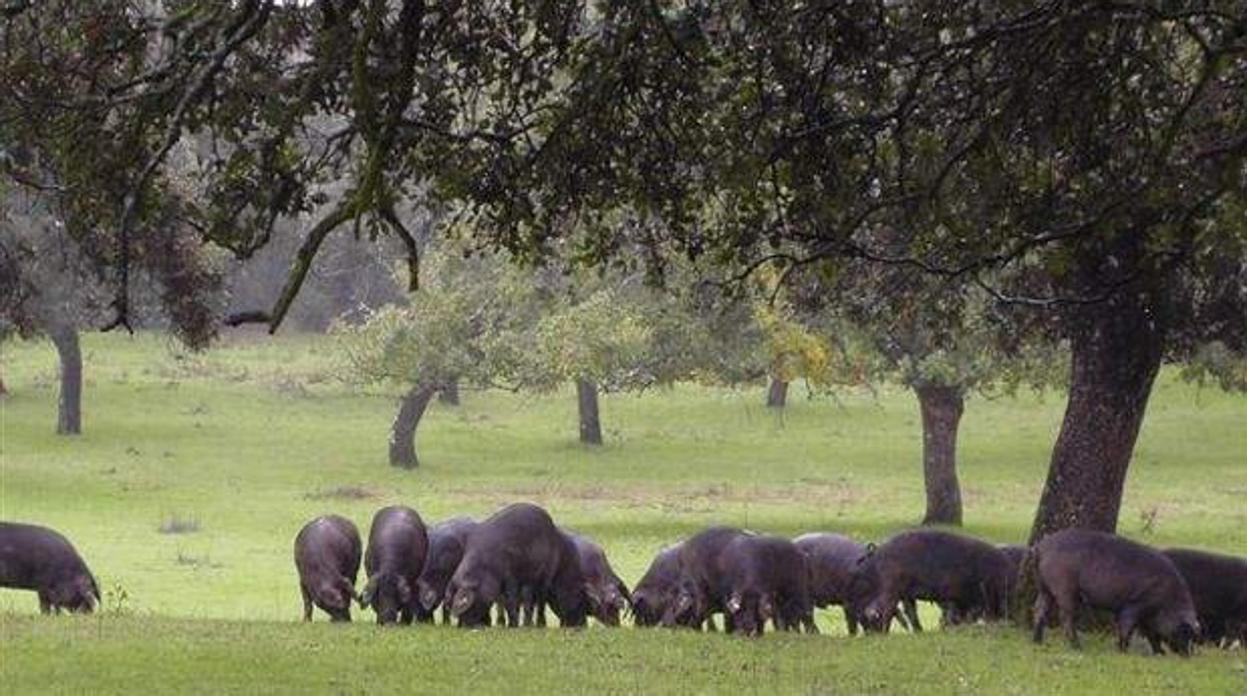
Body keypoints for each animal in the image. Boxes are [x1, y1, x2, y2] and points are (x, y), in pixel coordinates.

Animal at [443, 503, 588, 631]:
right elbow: (503, 603)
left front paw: (512, 626)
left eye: (467, 605)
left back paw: (538, 625)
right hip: (530, 581)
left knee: (540, 600)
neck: (486, 567)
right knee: (528, 599)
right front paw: (505, 625)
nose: (463, 626)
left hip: (546, 573)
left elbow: (510, 600)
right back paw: (526, 624)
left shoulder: (511, 576)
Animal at [852, 531, 1017, 636]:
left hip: (902, 591)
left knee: (904, 610)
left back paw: (918, 631)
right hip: (893, 585)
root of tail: (880, 550)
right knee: (886, 608)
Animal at [1032, 531, 1197, 658]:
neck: (1168, 600)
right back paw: (1078, 647)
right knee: (1065, 617)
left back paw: (1037, 642)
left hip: (1044, 588)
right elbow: (1128, 627)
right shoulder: (1134, 605)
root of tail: (1041, 547)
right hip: (1064, 588)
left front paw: (1160, 653)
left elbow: (1151, 634)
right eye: (1185, 631)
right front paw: (1123, 652)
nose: (1188, 655)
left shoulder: (1147, 617)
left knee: (1039, 610)